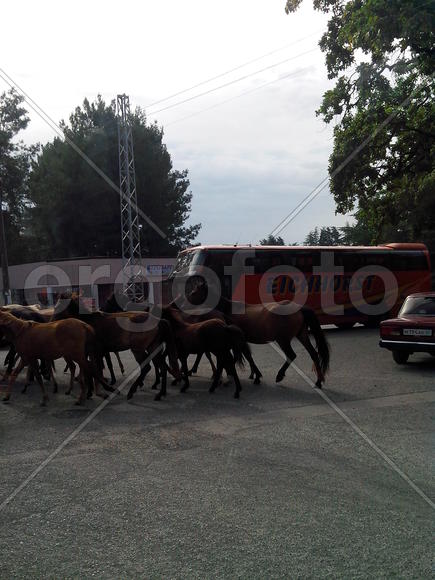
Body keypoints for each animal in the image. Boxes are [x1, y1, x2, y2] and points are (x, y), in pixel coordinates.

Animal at [188, 280, 330, 386]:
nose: (183, 303)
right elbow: (248, 356)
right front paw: (255, 375)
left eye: (194, 291)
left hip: (283, 340)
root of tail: (299, 309)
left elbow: (239, 356)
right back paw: (318, 381)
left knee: (291, 355)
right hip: (302, 336)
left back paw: (280, 375)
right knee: (314, 354)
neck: (227, 310)